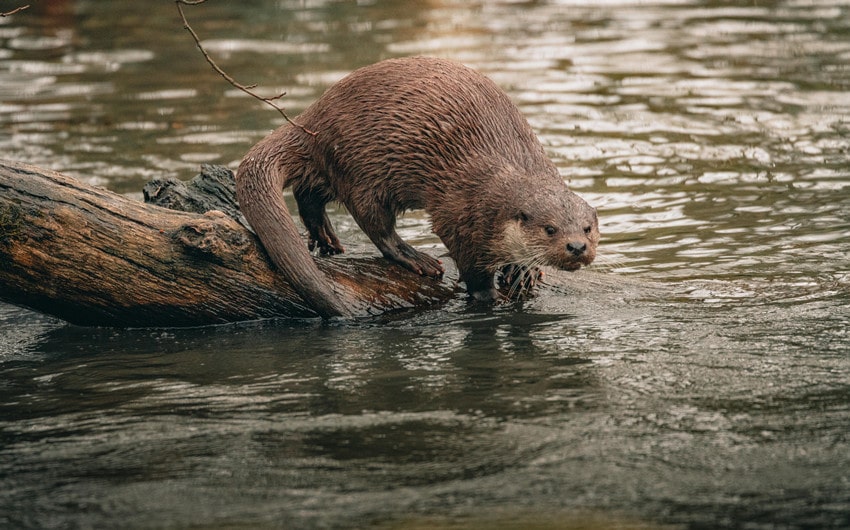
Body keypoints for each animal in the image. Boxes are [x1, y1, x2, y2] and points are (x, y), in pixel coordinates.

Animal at [235, 56, 600, 318]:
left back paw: (325, 237)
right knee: (374, 223)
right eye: (550, 229)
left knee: (309, 193)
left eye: (587, 228)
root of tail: (311, 120)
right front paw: (488, 296)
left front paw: (524, 270)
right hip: (363, 166)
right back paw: (415, 258)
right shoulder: (459, 214)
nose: (577, 246)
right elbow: (470, 267)